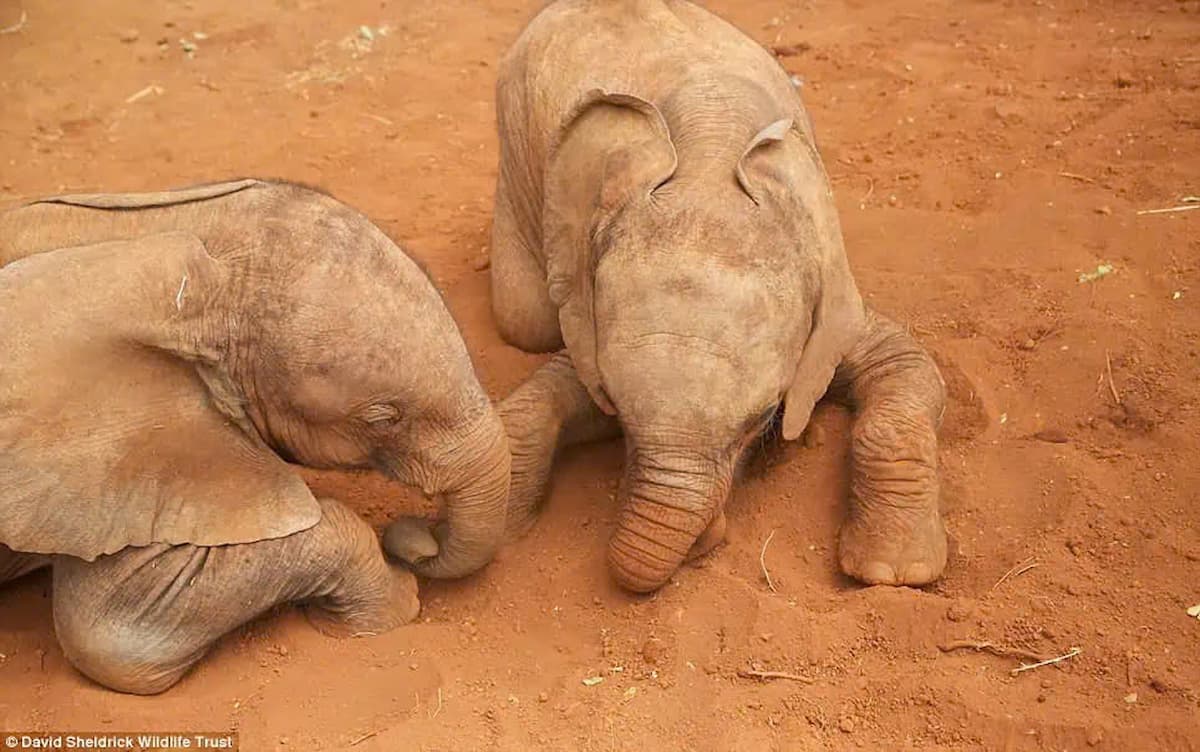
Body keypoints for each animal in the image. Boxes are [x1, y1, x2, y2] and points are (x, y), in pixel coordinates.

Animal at [487, 1, 945, 594]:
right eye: (618, 409)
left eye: (765, 417)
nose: (709, 537)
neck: (709, 157)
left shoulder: (827, 287)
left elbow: (904, 363)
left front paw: (895, 574)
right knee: (525, 318)